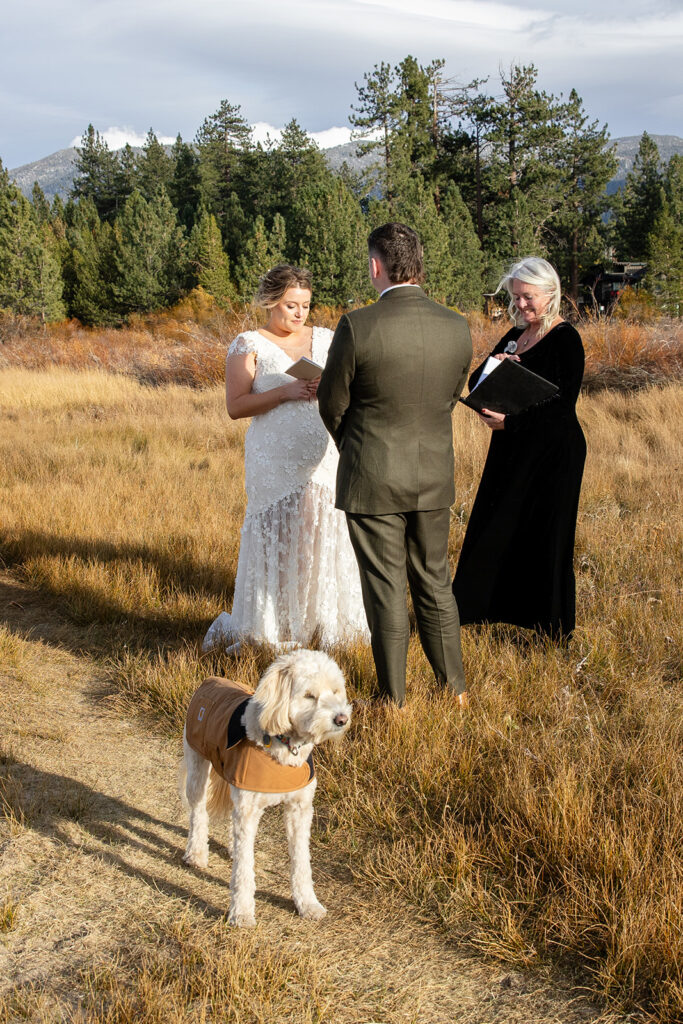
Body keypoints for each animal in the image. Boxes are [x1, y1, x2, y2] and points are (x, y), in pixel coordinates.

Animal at [180, 647, 352, 929]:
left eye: (336, 691)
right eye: (309, 695)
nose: (341, 719)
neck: (284, 745)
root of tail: (211, 679)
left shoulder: (299, 809)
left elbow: (301, 861)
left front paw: (307, 903)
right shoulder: (249, 808)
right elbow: (243, 870)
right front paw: (241, 912)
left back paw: (230, 847)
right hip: (197, 765)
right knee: (198, 813)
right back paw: (196, 853)